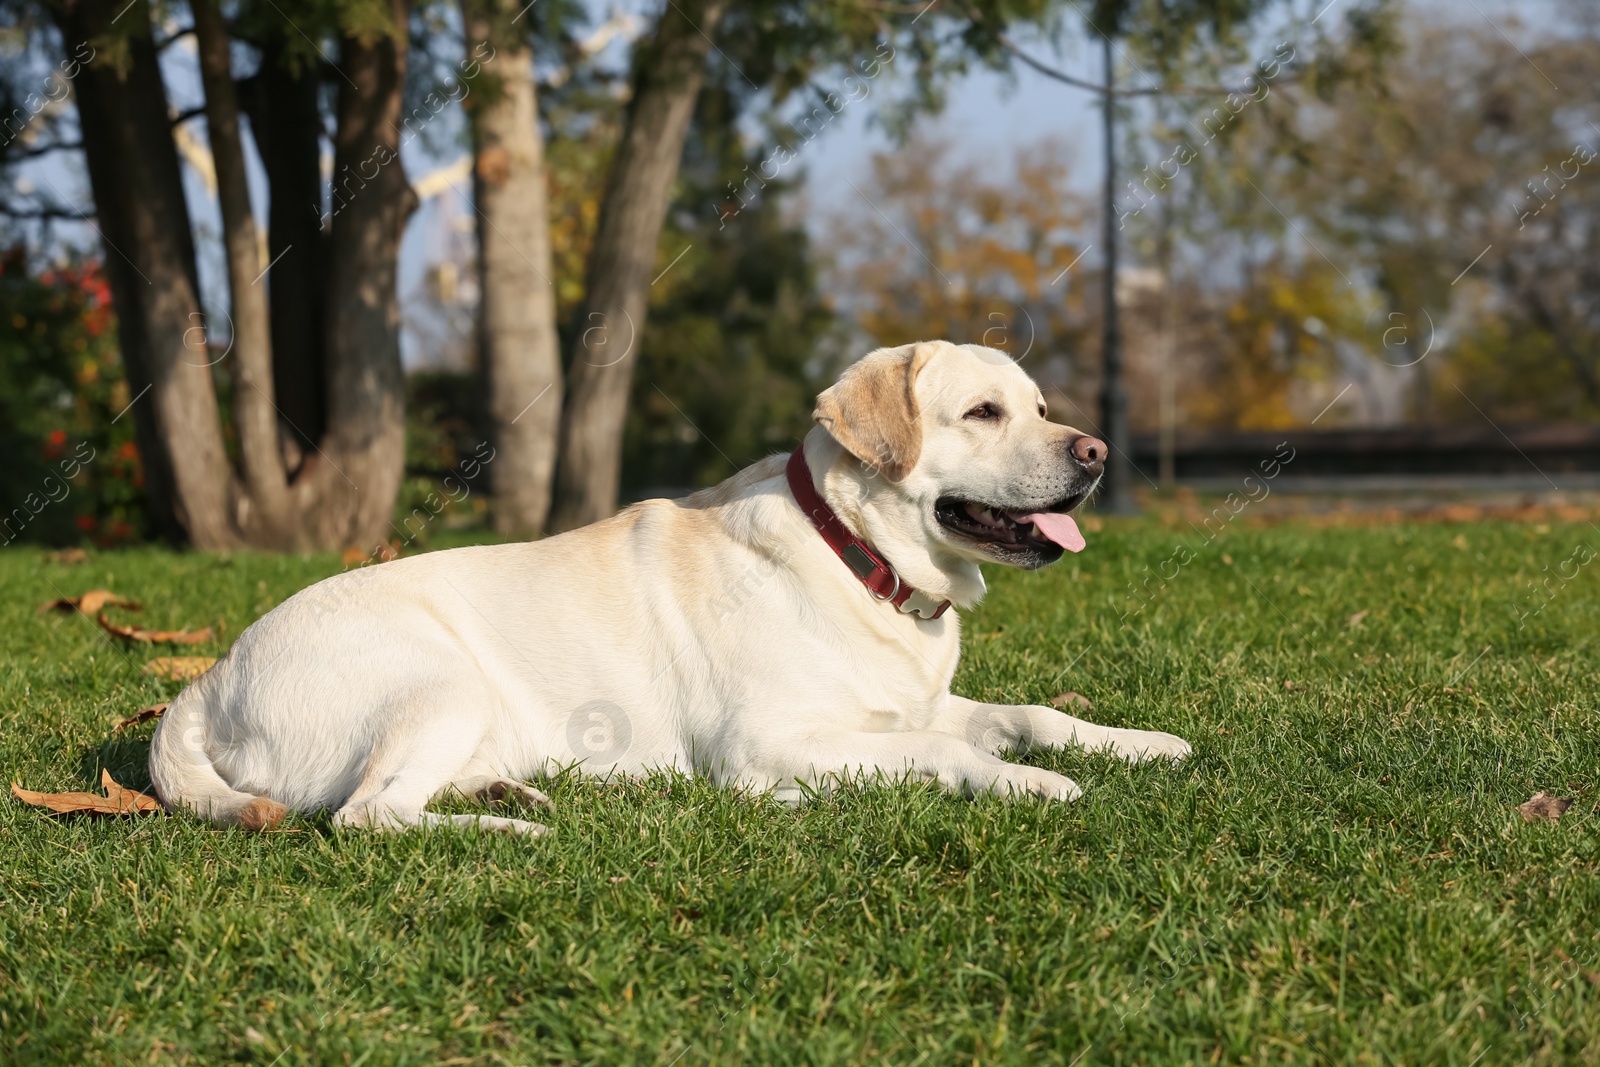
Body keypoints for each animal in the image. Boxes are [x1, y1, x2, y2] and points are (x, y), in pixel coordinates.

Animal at [152, 342, 1190, 831]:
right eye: (982, 413)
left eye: (1043, 409)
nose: (1097, 452)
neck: (856, 557)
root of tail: (208, 677)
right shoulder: (771, 737)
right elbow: (953, 753)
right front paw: (1031, 783)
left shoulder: (917, 704)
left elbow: (1029, 712)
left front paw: (1139, 743)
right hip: (439, 678)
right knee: (367, 815)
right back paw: (513, 831)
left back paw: (514, 791)